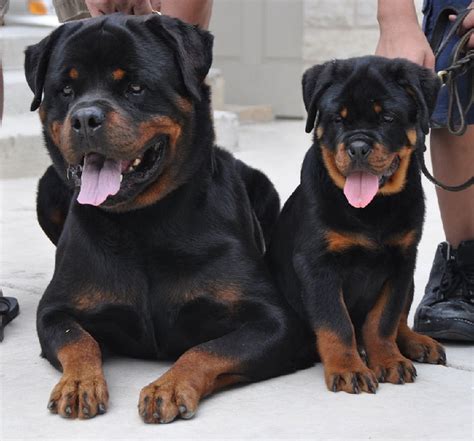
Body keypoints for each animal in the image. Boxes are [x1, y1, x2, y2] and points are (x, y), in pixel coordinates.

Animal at [25, 13, 312, 422]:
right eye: (65, 90)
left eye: (135, 87)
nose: (84, 118)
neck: (141, 223)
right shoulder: (55, 310)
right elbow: (78, 341)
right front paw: (79, 383)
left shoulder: (277, 322)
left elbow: (208, 349)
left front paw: (170, 385)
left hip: (265, 188)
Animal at [268, 56, 446, 394]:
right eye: (338, 119)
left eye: (387, 117)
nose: (359, 147)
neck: (371, 210)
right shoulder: (317, 264)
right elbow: (336, 323)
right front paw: (348, 369)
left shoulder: (402, 262)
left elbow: (384, 320)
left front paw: (389, 360)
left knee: (400, 317)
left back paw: (416, 343)